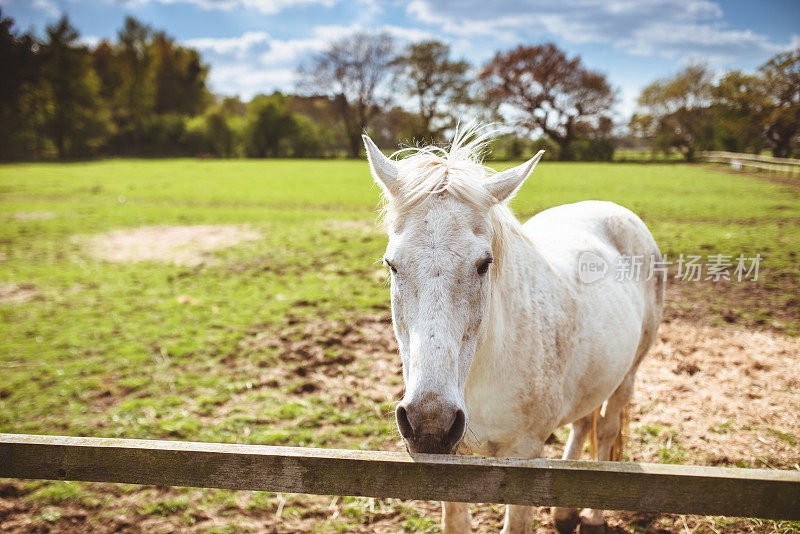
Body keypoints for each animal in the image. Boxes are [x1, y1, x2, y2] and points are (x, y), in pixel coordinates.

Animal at [362, 126, 664, 534]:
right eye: (392, 264)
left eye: (483, 263)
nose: (430, 422)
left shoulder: (525, 456)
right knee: (583, 423)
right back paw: (565, 514)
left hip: (628, 375)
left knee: (605, 429)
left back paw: (592, 518)